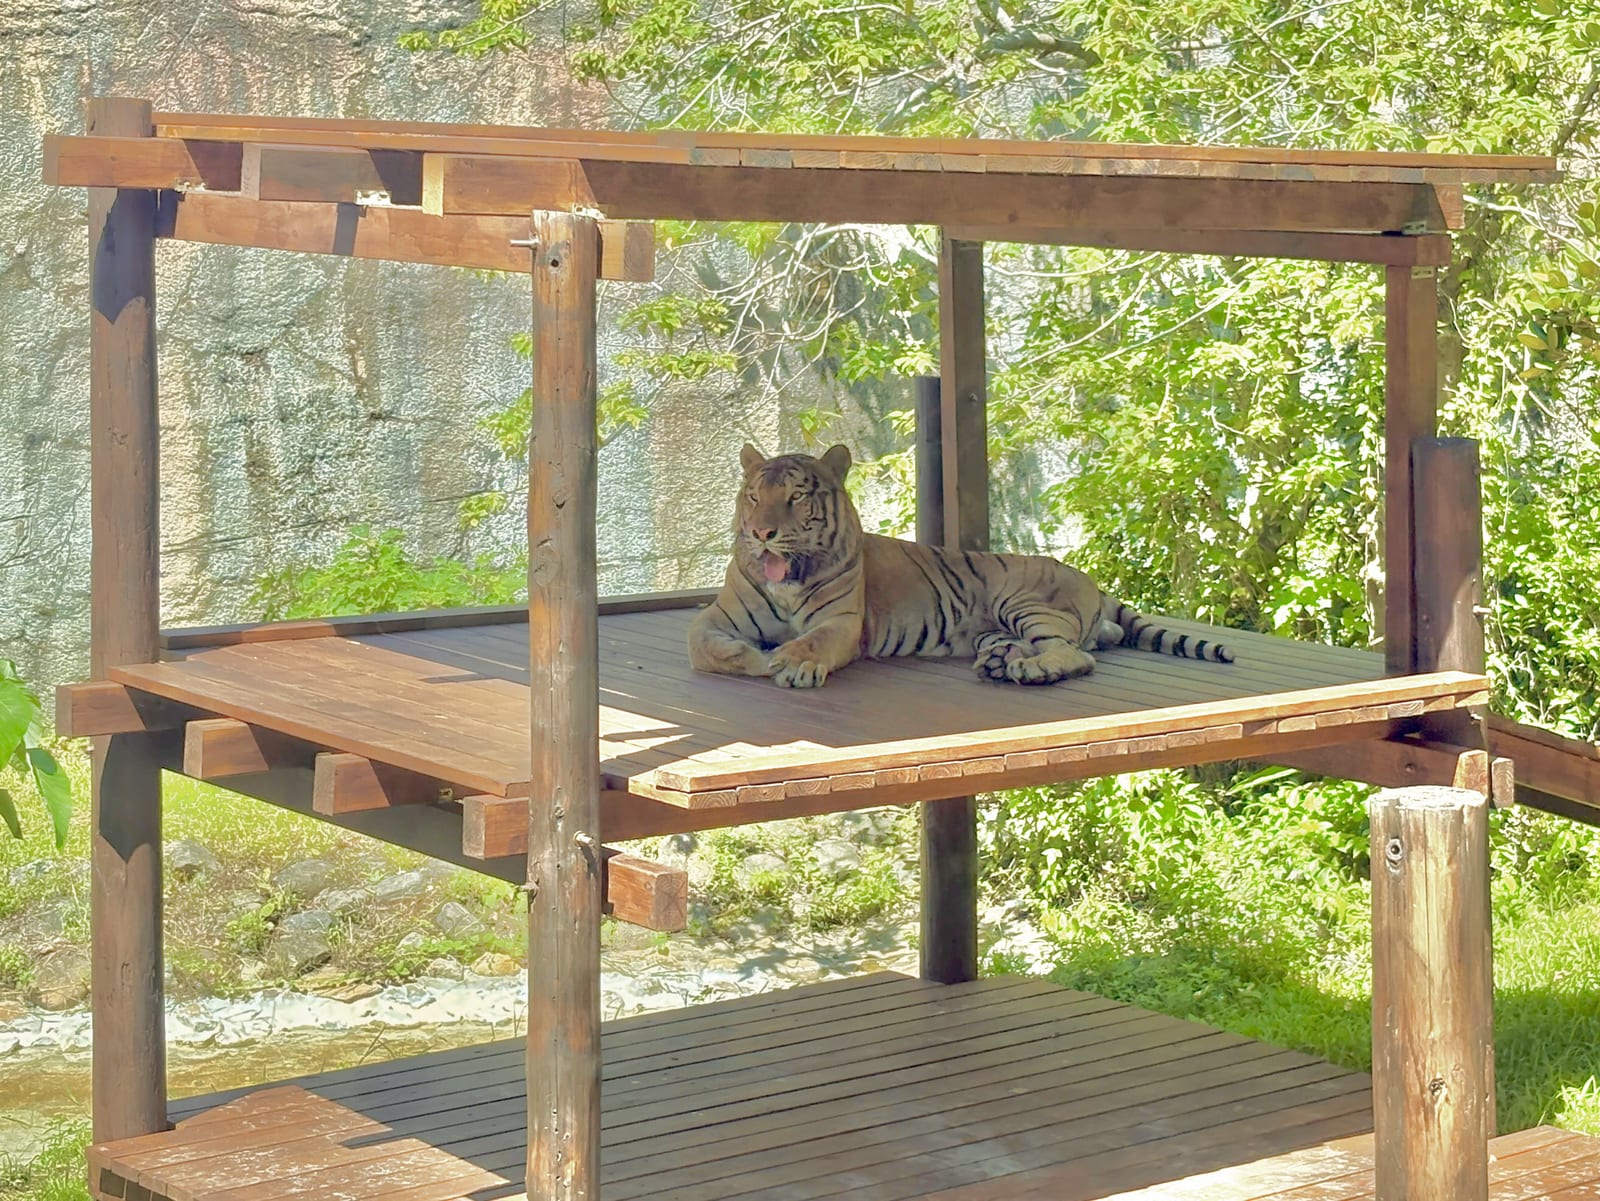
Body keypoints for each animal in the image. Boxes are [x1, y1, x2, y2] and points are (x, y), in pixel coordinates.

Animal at [687, 443, 1233, 689]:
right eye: (754, 497)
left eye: (796, 497)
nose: (761, 534)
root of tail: (1090, 580)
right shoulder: (716, 617)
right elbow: (708, 647)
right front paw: (758, 657)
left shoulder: (840, 622)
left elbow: (811, 641)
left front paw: (792, 662)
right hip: (997, 625)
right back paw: (1000, 662)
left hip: (1024, 601)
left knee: (1075, 654)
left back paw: (1029, 670)